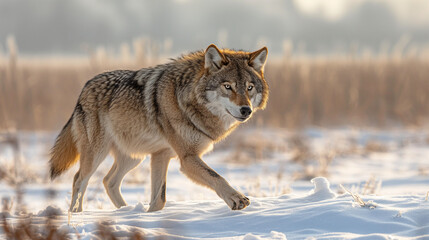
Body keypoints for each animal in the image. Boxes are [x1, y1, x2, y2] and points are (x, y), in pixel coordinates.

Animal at [49, 43, 268, 212]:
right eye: (228, 87)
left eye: (249, 88)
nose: (246, 110)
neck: (187, 99)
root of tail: (84, 88)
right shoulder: (187, 158)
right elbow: (217, 177)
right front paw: (236, 198)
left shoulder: (161, 155)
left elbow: (159, 199)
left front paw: (149, 217)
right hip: (97, 154)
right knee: (79, 180)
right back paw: (77, 215)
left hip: (134, 157)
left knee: (108, 181)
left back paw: (126, 211)